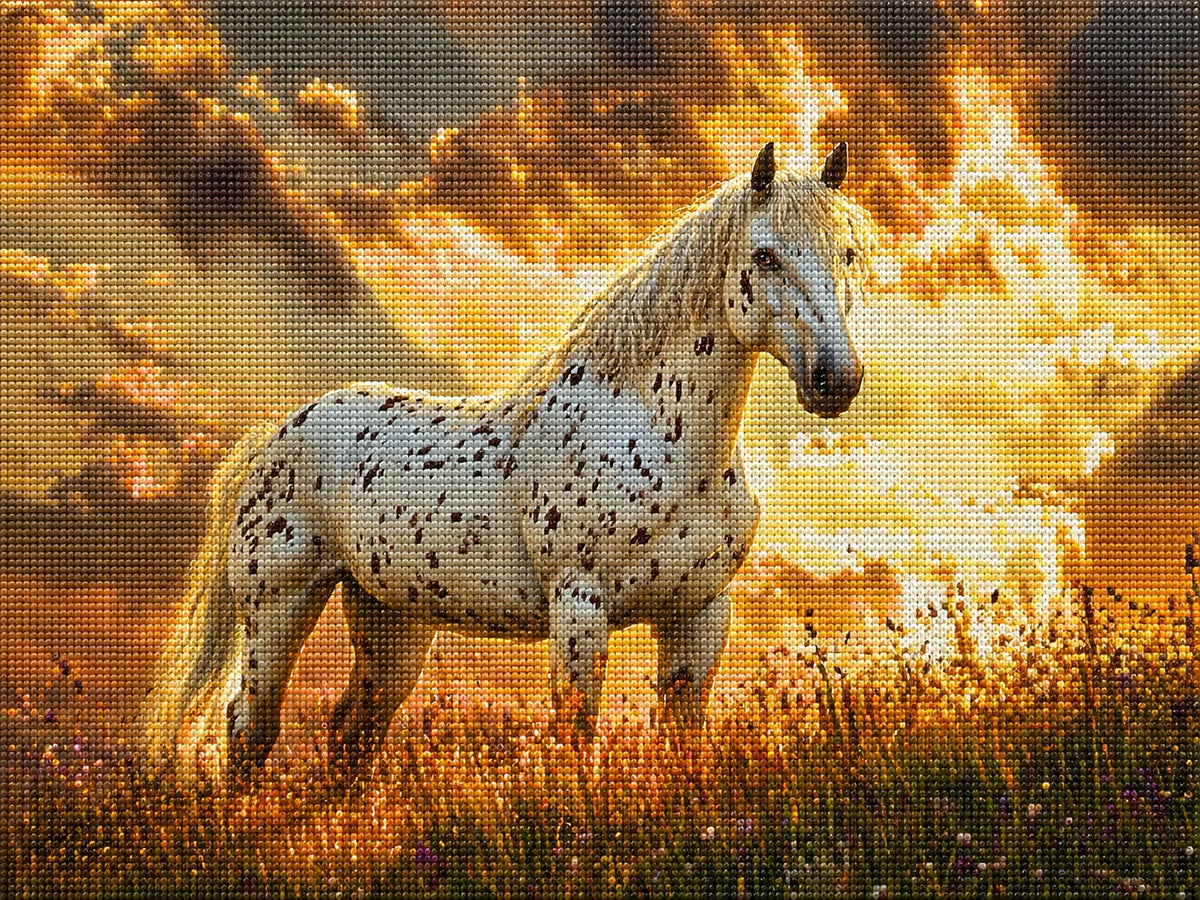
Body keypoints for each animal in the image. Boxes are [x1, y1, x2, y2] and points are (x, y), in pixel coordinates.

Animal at [141, 142, 875, 784]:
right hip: (278, 605)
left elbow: (684, 740)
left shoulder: (699, 614)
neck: (663, 443)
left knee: (352, 736)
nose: (836, 379)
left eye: (847, 252)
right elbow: (575, 736)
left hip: (392, 622)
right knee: (249, 729)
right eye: (765, 255)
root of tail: (277, 433)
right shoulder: (579, 604)